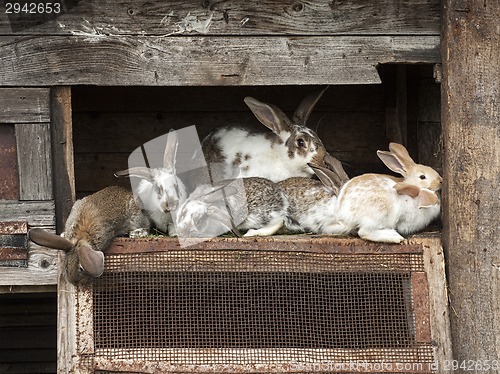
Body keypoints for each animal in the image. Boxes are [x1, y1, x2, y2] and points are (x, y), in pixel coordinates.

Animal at [282, 143, 442, 243]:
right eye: (422, 177)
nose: (440, 180)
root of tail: (345, 215)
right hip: (378, 213)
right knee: (364, 232)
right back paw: (394, 237)